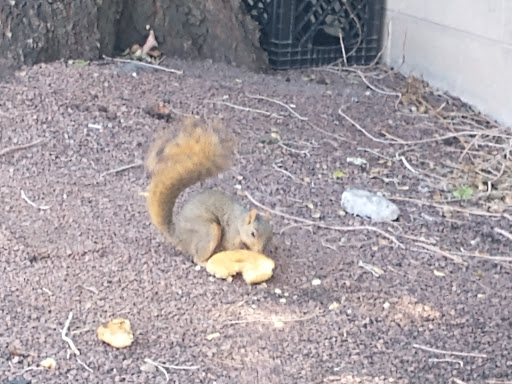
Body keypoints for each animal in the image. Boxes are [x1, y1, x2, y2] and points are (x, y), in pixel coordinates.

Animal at [145, 118, 272, 268]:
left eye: (269, 237)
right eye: (253, 233)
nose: (259, 251)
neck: (240, 220)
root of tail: (178, 235)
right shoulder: (232, 232)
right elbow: (230, 246)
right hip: (209, 231)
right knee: (197, 257)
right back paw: (206, 262)